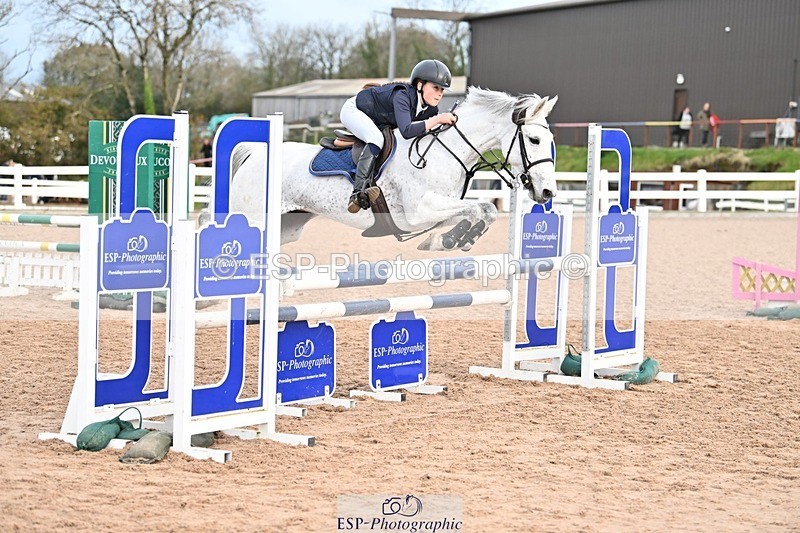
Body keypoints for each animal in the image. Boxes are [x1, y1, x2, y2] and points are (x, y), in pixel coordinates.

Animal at [228, 87, 558, 251]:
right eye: (534, 139)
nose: (547, 192)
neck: (443, 151)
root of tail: (255, 153)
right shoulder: (418, 212)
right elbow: (479, 208)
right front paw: (454, 239)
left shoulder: (440, 209)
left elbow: (483, 210)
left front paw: (453, 240)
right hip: (256, 220)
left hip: (287, 227)